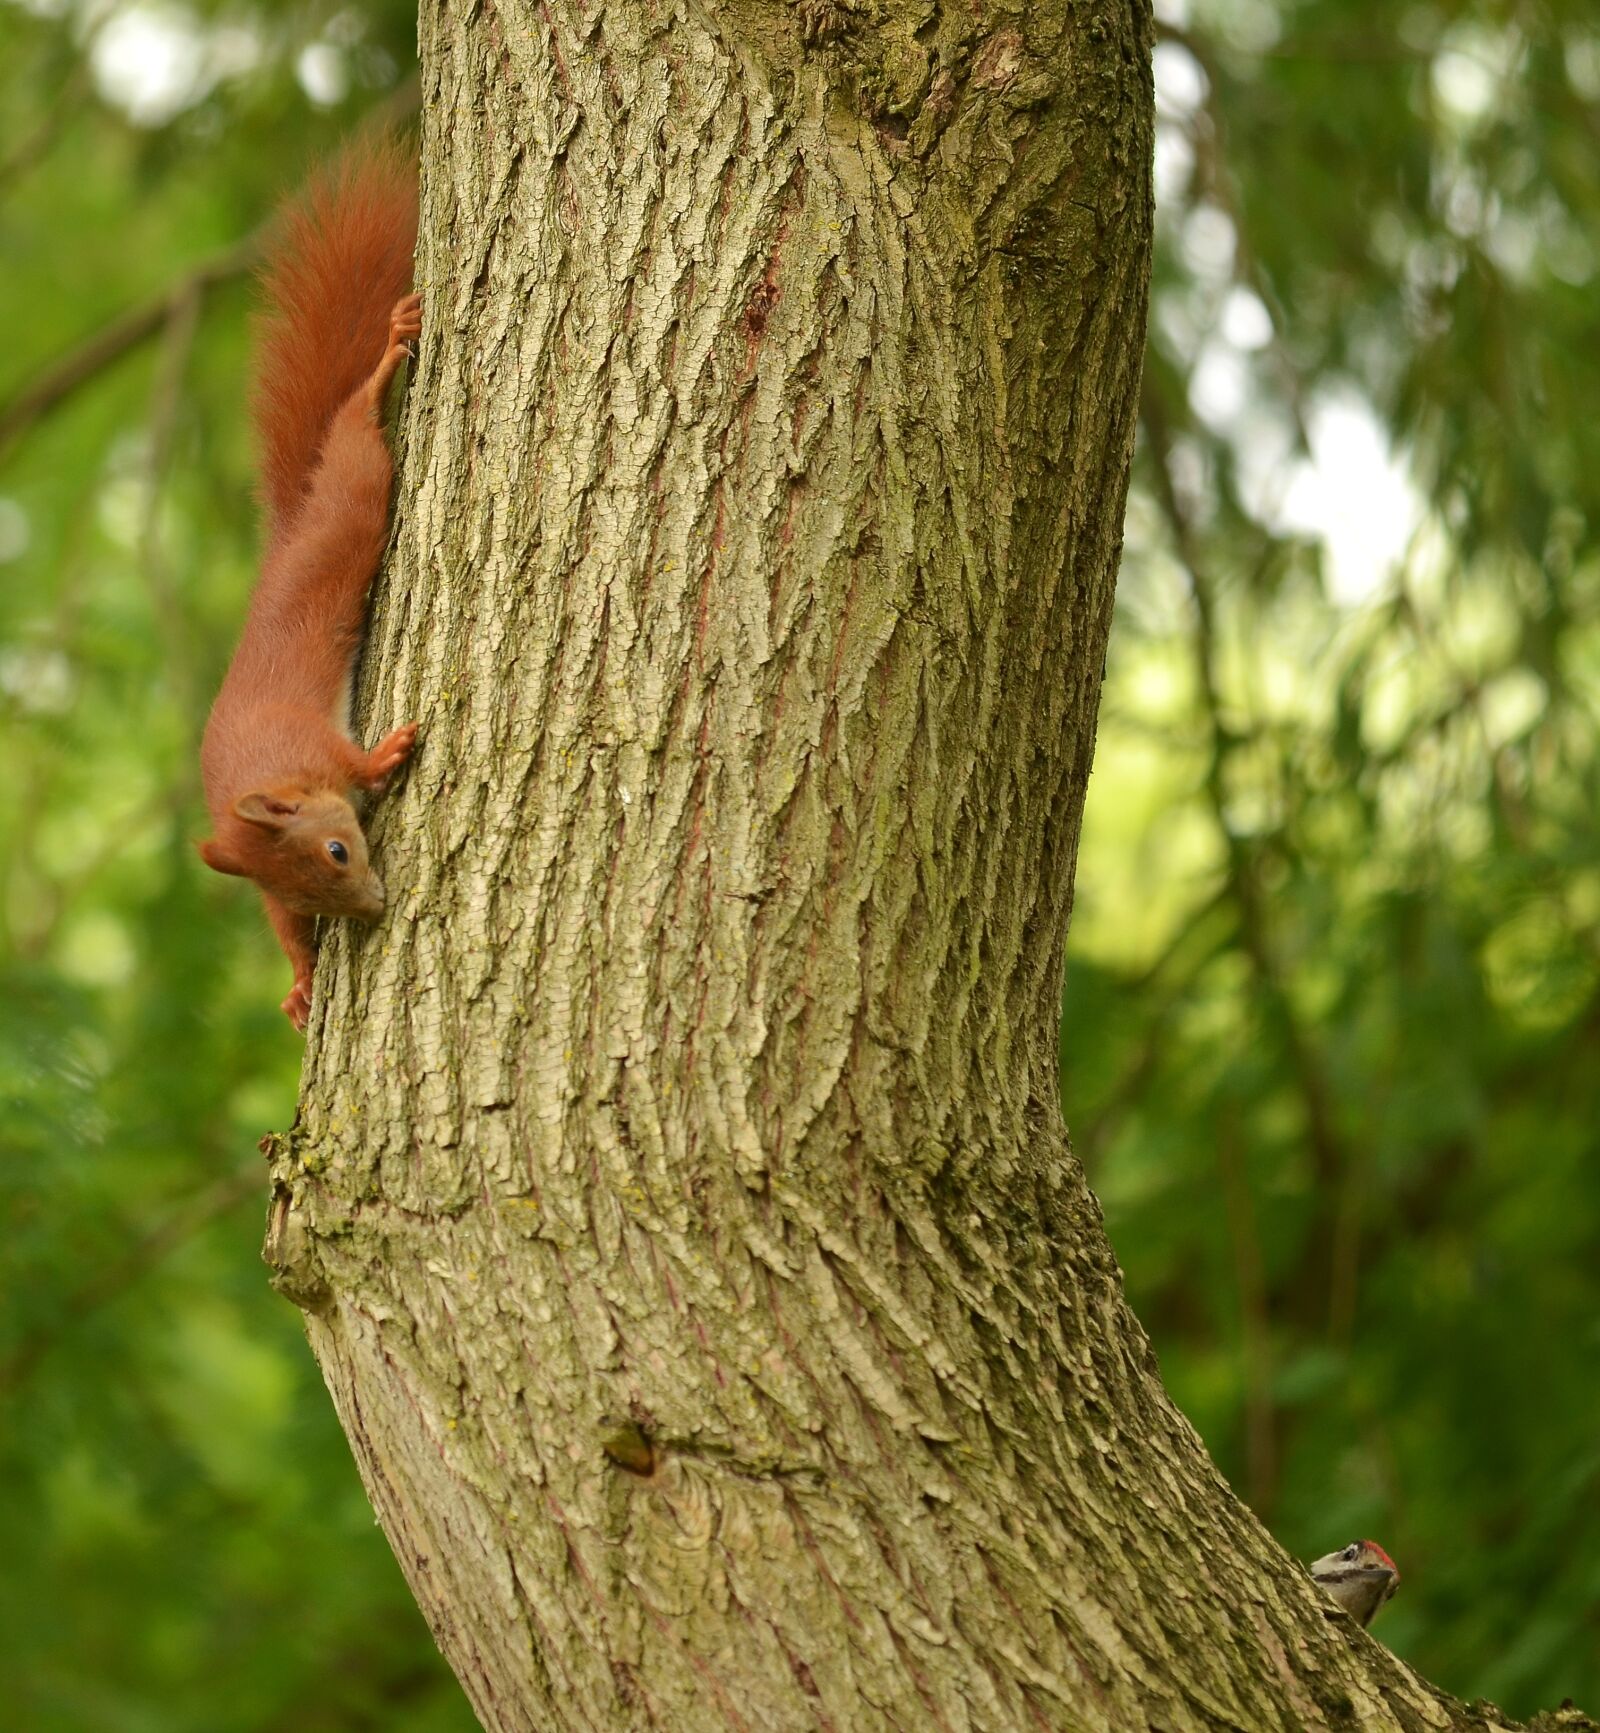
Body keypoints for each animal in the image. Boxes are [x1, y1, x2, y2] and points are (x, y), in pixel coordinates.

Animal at [198, 142, 421, 1033]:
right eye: (309, 894)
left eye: (338, 848)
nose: (376, 906)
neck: (268, 777)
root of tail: (291, 532)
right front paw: (298, 981)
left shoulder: (311, 741)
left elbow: (353, 762)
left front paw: (387, 752)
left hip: (351, 510)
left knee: (357, 434)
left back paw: (386, 361)